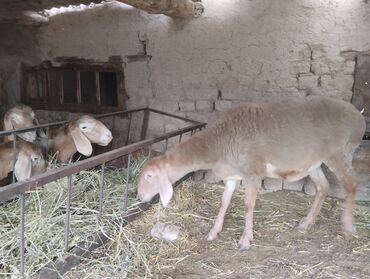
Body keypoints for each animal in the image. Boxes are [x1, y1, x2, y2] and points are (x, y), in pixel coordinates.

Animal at [137, 97, 366, 252]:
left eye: (149, 177)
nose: (140, 196)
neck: (217, 145)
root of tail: (359, 116)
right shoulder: (231, 175)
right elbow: (224, 203)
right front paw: (213, 232)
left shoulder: (252, 171)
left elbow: (248, 205)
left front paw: (245, 240)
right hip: (314, 163)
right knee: (323, 187)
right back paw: (306, 223)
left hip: (340, 153)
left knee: (352, 184)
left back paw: (348, 225)